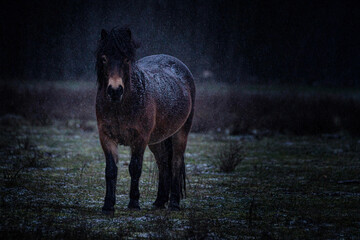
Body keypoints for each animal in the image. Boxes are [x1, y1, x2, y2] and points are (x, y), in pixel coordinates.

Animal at [95, 26, 194, 214]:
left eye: (126, 59)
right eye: (104, 58)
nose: (115, 91)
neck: (122, 106)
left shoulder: (140, 138)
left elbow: (135, 168)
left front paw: (134, 203)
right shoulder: (106, 137)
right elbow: (110, 170)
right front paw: (108, 206)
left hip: (181, 133)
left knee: (175, 163)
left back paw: (174, 204)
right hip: (157, 140)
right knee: (163, 163)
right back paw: (159, 201)